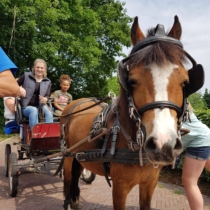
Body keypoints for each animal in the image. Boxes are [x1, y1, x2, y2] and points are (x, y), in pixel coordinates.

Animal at [60, 15, 204, 209]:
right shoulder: (119, 187)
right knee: (68, 180)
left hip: (79, 156)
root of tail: (73, 104)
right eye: (133, 81)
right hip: (68, 157)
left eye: (185, 82)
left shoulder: (150, 182)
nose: (163, 145)